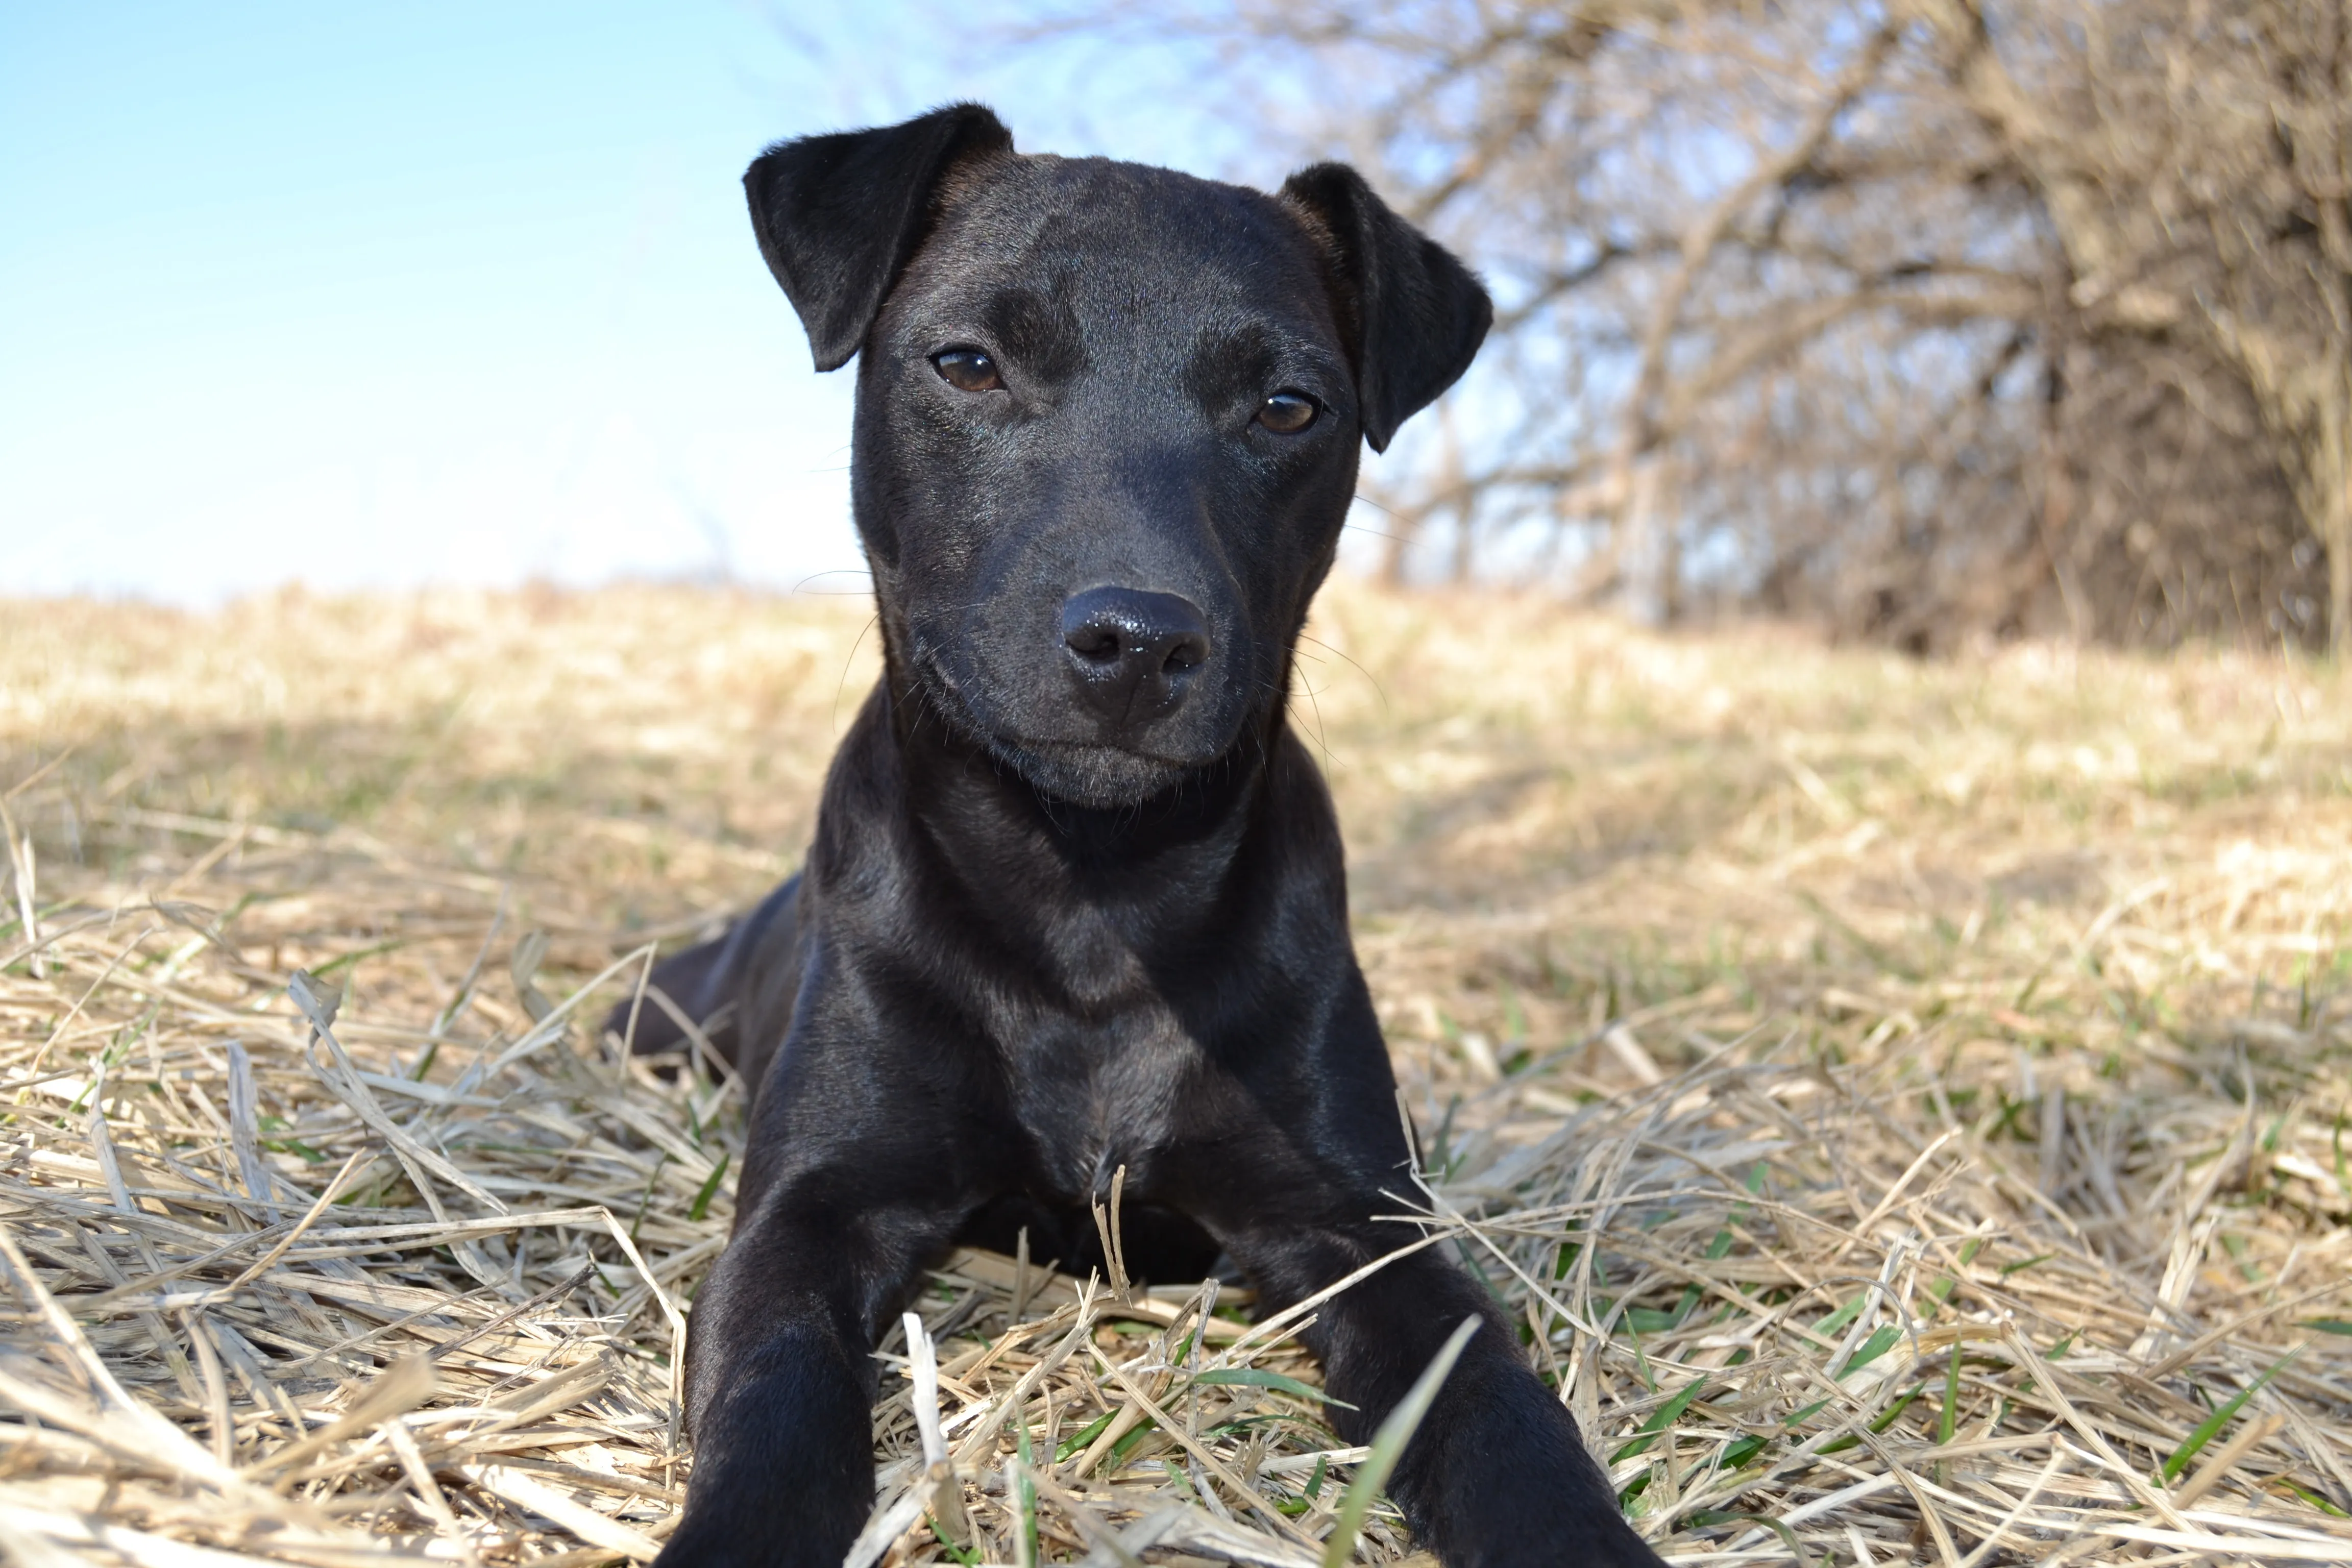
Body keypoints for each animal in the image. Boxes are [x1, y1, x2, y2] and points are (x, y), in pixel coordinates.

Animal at [616, 104, 1665, 1561]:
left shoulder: (1357, 1224)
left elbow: (1497, 1407)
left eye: (1289, 406)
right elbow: (778, 1395)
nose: (1137, 639)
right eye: (969, 363)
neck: (1092, 896)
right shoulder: (807, 1210)